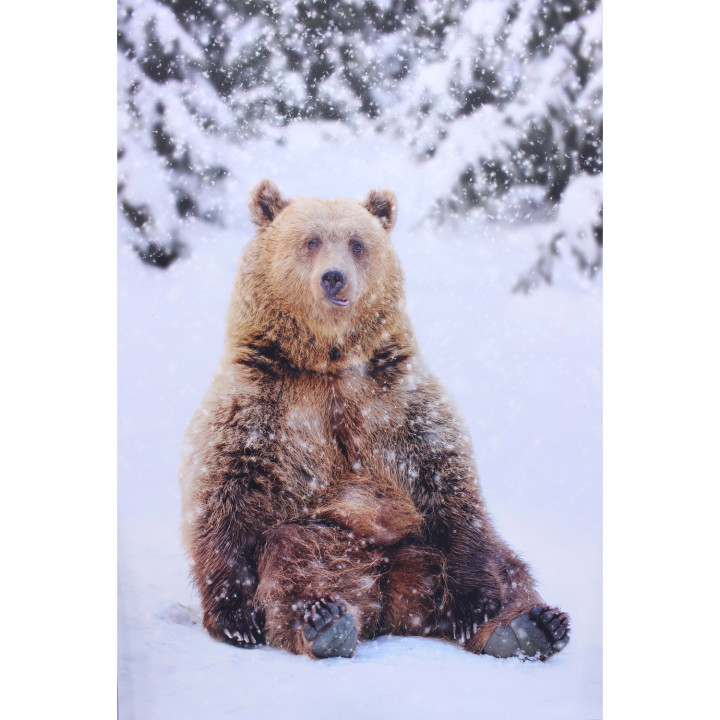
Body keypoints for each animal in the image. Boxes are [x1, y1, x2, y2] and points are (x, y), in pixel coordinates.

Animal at [178, 179, 569, 661]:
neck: (328, 361)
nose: (334, 276)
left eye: (357, 243)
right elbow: (223, 490)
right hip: (331, 540)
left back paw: (527, 625)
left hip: (419, 547)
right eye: (311, 240)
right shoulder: (260, 400)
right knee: (292, 555)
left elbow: (450, 483)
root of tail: (390, 605)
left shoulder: (398, 396)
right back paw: (325, 621)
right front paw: (235, 618)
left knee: (505, 563)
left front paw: (479, 605)